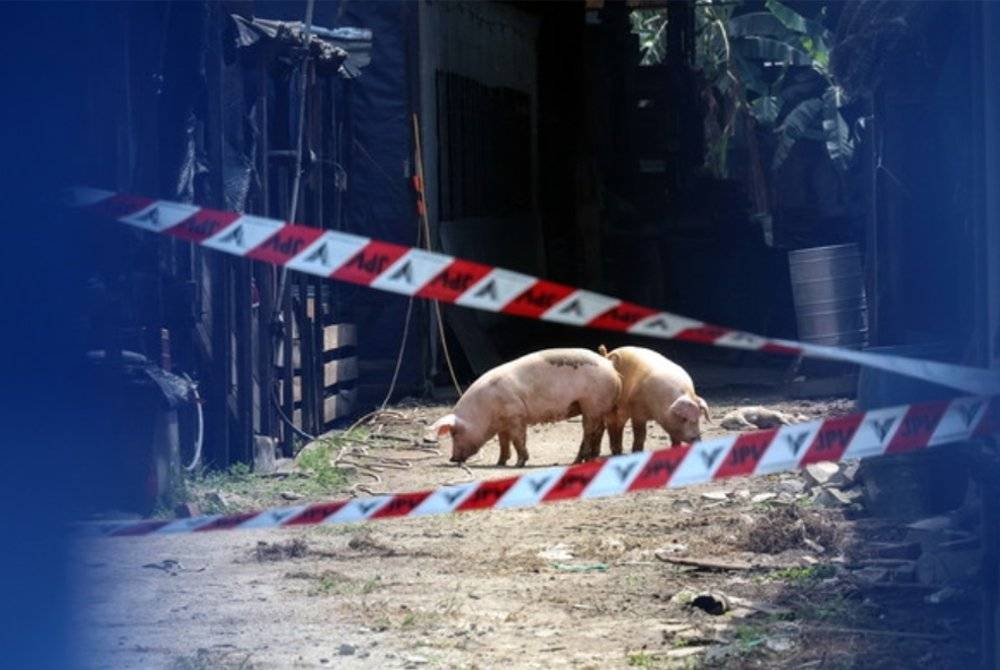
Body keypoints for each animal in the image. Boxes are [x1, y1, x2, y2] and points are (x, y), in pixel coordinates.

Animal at [428, 350, 620, 470]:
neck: (483, 412)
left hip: (591, 404)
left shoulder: (516, 415)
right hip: (597, 407)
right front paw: (500, 463)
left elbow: (517, 440)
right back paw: (591, 458)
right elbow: (504, 442)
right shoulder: (503, 423)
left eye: (454, 434)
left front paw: (518, 464)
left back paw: (577, 461)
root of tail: (610, 366)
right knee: (599, 429)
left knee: (589, 431)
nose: (452, 458)